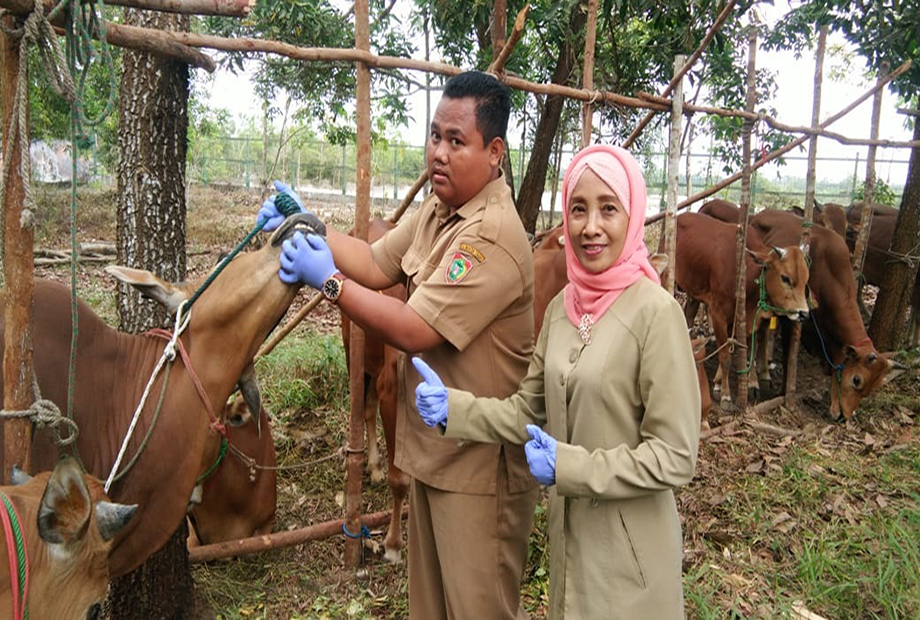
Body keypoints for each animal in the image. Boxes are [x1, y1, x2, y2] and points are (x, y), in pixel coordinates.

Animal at [672, 211, 808, 410]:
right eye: (785, 278)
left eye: (806, 279)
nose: (804, 313)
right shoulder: (719, 315)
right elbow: (725, 357)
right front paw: (726, 396)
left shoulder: (746, 319)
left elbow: (743, 350)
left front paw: (728, 384)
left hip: (694, 290)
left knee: (689, 314)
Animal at [748, 209, 904, 422]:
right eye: (856, 380)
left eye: (873, 388)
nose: (843, 417)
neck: (828, 272)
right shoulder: (793, 317)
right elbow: (789, 354)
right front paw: (783, 391)